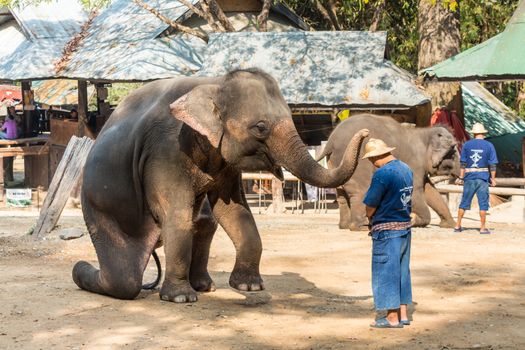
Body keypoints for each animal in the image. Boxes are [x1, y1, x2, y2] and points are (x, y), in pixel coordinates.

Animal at [72, 69, 368, 304]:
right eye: (260, 127)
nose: (365, 134)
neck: (213, 82)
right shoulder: (165, 151)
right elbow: (177, 215)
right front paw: (180, 298)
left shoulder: (224, 161)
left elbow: (235, 210)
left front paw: (249, 286)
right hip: (100, 211)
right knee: (124, 280)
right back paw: (80, 270)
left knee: (205, 222)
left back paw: (205, 286)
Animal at [316, 113, 458, 231]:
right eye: (453, 152)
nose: (458, 173)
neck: (424, 133)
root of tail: (330, 142)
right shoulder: (415, 162)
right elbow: (416, 190)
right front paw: (413, 220)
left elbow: (430, 190)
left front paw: (449, 225)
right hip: (358, 164)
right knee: (360, 190)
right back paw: (361, 227)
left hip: (334, 163)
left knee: (341, 193)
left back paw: (345, 226)